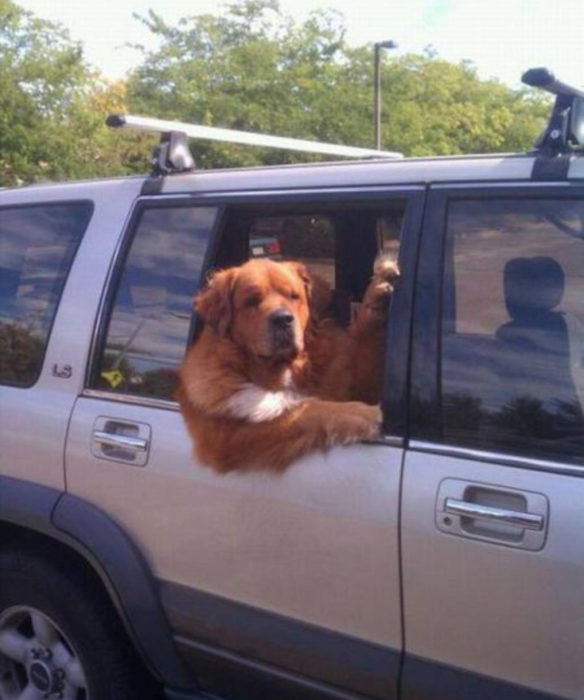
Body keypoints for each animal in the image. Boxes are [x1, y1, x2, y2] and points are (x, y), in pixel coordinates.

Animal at [178, 254, 396, 474]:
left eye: (294, 296)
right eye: (251, 301)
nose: (282, 319)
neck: (283, 368)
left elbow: (366, 352)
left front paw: (376, 296)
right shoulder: (227, 434)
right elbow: (305, 411)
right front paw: (362, 413)